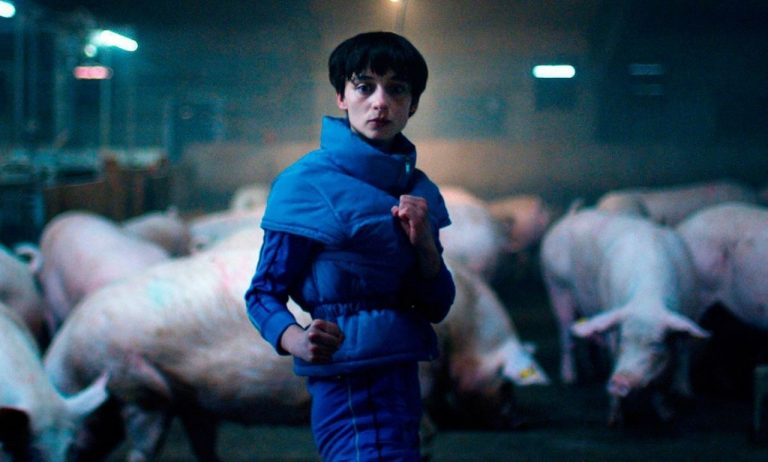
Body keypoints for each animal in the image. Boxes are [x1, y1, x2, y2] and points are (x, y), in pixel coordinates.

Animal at [540, 208, 708, 424]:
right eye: (623, 339)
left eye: (655, 345)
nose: (620, 380)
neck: (646, 301)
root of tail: (569, 216)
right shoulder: (611, 311)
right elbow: (613, 354)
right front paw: (614, 420)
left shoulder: (688, 309)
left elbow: (673, 362)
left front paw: (668, 414)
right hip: (556, 286)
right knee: (566, 333)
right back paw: (570, 379)